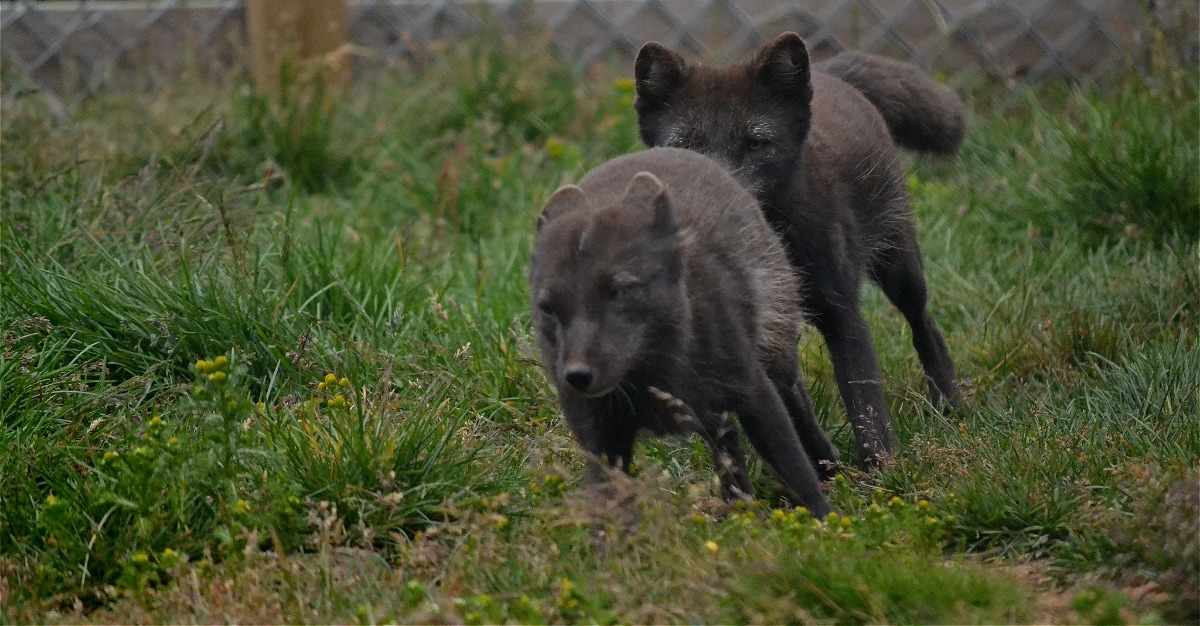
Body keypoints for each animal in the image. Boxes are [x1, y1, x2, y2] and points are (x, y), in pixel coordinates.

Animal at [530, 147, 840, 515]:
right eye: (548, 306)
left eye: (618, 291)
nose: (577, 376)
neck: (652, 377)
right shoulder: (599, 436)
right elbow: (609, 507)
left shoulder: (752, 387)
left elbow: (794, 469)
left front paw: (828, 520)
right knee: (728, 445)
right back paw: (739, 508)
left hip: (775, 351)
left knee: (793, 398)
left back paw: (827, 466)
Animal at [638, 30, 964, 467]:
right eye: (685, 147)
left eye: (756, 144)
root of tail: (828, 73)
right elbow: (791, 405)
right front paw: (825, 466)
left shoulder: (842, 315)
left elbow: (865, 405)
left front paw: (880, 473)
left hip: (900, 267)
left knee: (923, 324)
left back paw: (950, 405)